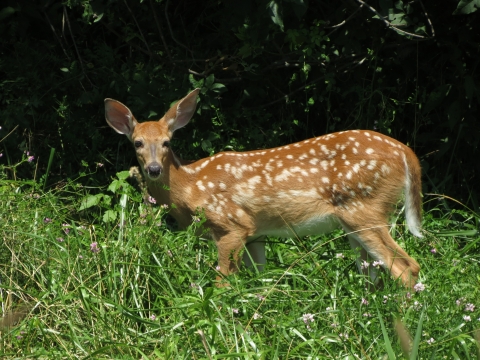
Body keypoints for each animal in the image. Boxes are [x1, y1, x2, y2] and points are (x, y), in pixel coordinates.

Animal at [106, 88, 424, 288]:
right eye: (137, 143)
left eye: (166, 142)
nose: (154, 169)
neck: (191, 185)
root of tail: (407, 153)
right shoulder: (255, 233)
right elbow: (258, 280)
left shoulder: (232, 224)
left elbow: (223, 283)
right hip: (356, 222)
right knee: (374, 274)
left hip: (364, 208)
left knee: (407, 267)